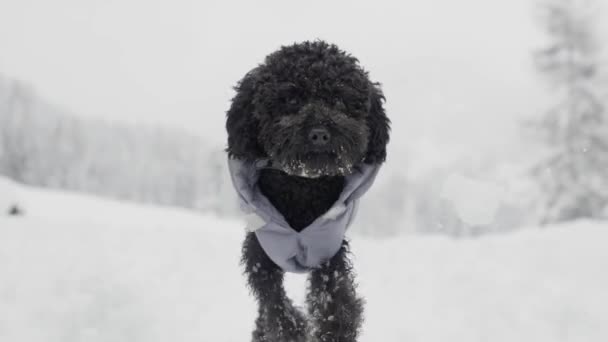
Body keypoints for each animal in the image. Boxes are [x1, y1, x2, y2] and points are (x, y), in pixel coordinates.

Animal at [227, 41, 390, 342]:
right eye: (292, 99)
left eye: (338, 100)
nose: (320, 134)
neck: (302, 188)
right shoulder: (260, 253)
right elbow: (273, 302)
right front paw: (292, 331)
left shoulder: (329, 250)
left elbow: (335, 298)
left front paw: (334, 330)